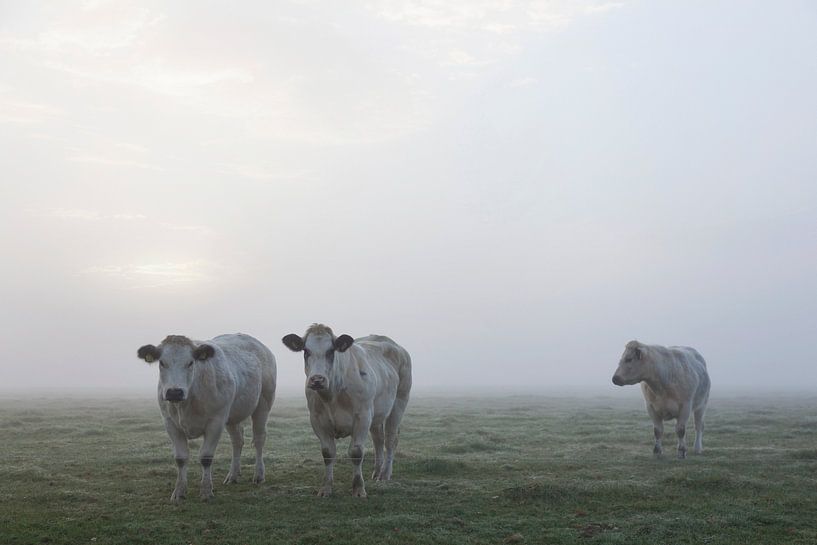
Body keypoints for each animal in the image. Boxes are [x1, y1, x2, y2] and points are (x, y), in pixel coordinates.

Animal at [136, 333, 276, 502]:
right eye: (162, 363)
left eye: (190, 362)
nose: (174, 392)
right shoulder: (170, 424)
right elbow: (181, 458)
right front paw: (179, 491)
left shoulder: (216, 422)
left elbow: (206, 457)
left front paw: (206, 491)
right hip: (231, 415)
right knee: (237, 441)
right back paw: (233, 475)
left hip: (263, 404)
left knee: (259, 439)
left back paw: (259, 475)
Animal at [282, 324, 412, 497]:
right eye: (306, 351)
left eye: (331, 351)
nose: (317, 380)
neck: (332, 395)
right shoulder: (317, 420)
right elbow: (328, 453)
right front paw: (326, 488)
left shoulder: (363, 417)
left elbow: (356, 453)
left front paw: (358, 489)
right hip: (377, 414)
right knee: (378, 439)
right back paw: (377, 472)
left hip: (399, 402)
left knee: (390, 439)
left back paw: (385, 474)